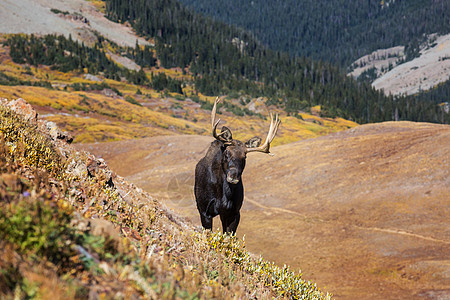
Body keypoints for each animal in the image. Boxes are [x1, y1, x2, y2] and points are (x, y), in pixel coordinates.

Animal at [194, 97, 280, 233]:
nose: (233, 177)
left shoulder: (234, 212)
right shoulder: (204, 211)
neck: (223, 193)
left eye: (244, 157)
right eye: (227, 153)